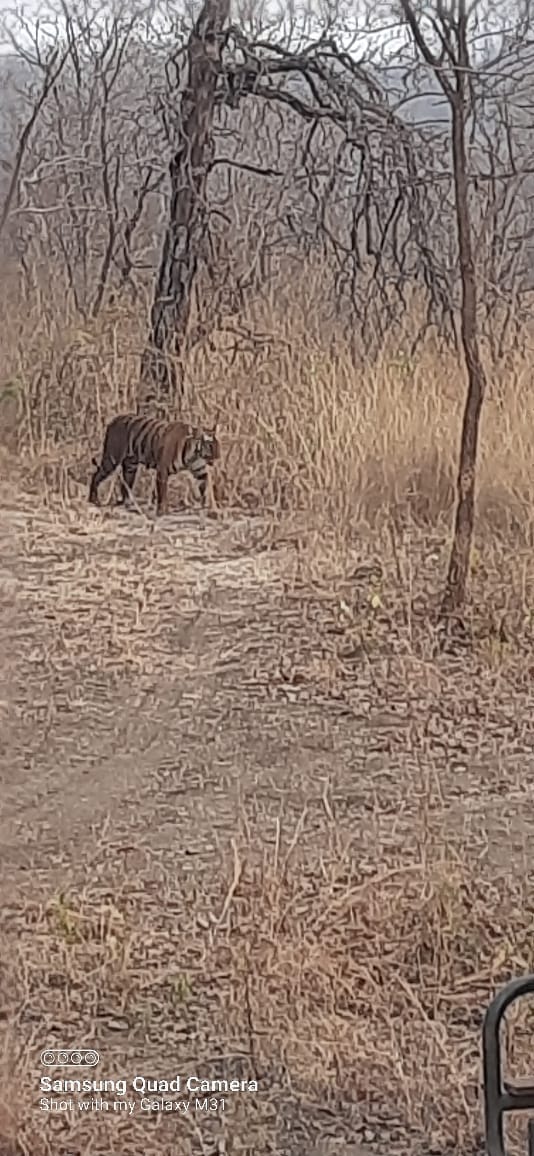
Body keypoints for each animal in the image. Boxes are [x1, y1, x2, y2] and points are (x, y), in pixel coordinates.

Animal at [88, 413, 220, 516]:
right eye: (210, 445)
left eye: (217, 444)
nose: (218, 456)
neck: (194, 455)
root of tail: (113, 420)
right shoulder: (162, 470)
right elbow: (162, 493)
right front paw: (162, 511)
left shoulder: (200, 470)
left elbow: (204, 485)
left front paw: (206, 506)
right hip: (112, 459)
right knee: (96, 475)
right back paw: (93, 500)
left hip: (131, 466)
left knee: (125, 484)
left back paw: (128, 504)